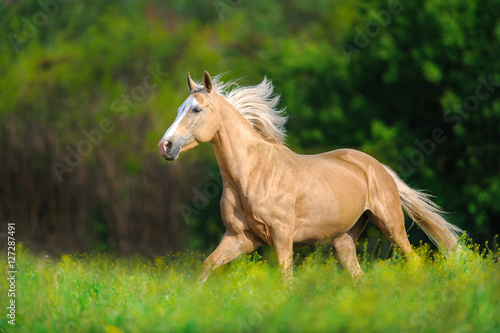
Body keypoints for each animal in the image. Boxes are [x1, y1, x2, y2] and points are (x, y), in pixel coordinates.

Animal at [157, 70, 464, 280]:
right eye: (179, 109)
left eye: (196, 109)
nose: (166, 146)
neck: (251, 174)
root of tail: (377, 167)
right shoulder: (239, 238)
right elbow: (206, 266)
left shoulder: (282, 236)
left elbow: (286, 280)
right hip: (344, 239)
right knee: (358, 277)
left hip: (390, 224)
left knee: (413, 261)